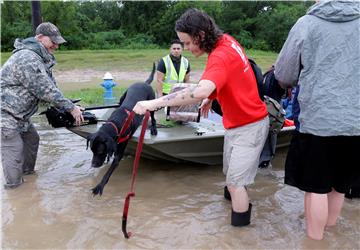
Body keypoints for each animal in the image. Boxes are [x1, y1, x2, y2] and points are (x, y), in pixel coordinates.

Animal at [86, 63, 157, 196]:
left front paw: (99, 186)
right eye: (92, 150)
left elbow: (108, 172)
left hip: (152, 104)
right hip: (123, 96)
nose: (93, 164)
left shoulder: (118, 154)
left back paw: (154, 129)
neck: (115, 124)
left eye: (100, 151)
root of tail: (144, 83)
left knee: (153, 117)